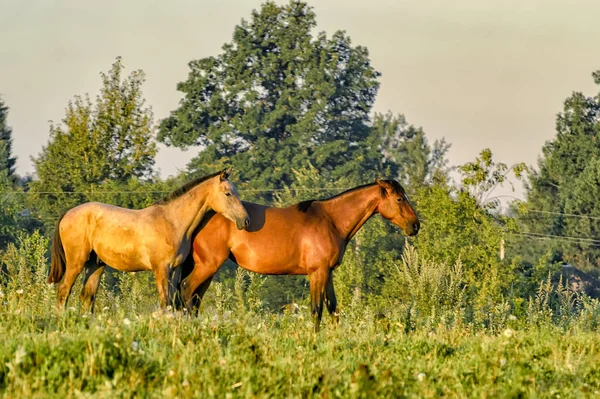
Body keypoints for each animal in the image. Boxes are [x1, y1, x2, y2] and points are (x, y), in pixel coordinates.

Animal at [47, 169, 251, 312]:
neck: (172, 222)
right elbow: (165, 302)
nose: (246, 220)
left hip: (95, 265)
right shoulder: (161, 269)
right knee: (63, 290)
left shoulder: (174, 269)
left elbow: (172, 302)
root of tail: (67, 214)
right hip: (76, 262)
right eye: (228, 193)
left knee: (87, 297)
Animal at [180, 180, 420, 332]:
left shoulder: (328, 273)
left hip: (208, 271)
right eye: (400, 199)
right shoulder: (317, 273)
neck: (330, 220)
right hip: (207, 266)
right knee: (187, 290)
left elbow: (333, 310)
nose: (415, 225)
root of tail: (203, 216)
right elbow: (317, 310)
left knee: (195, 299)